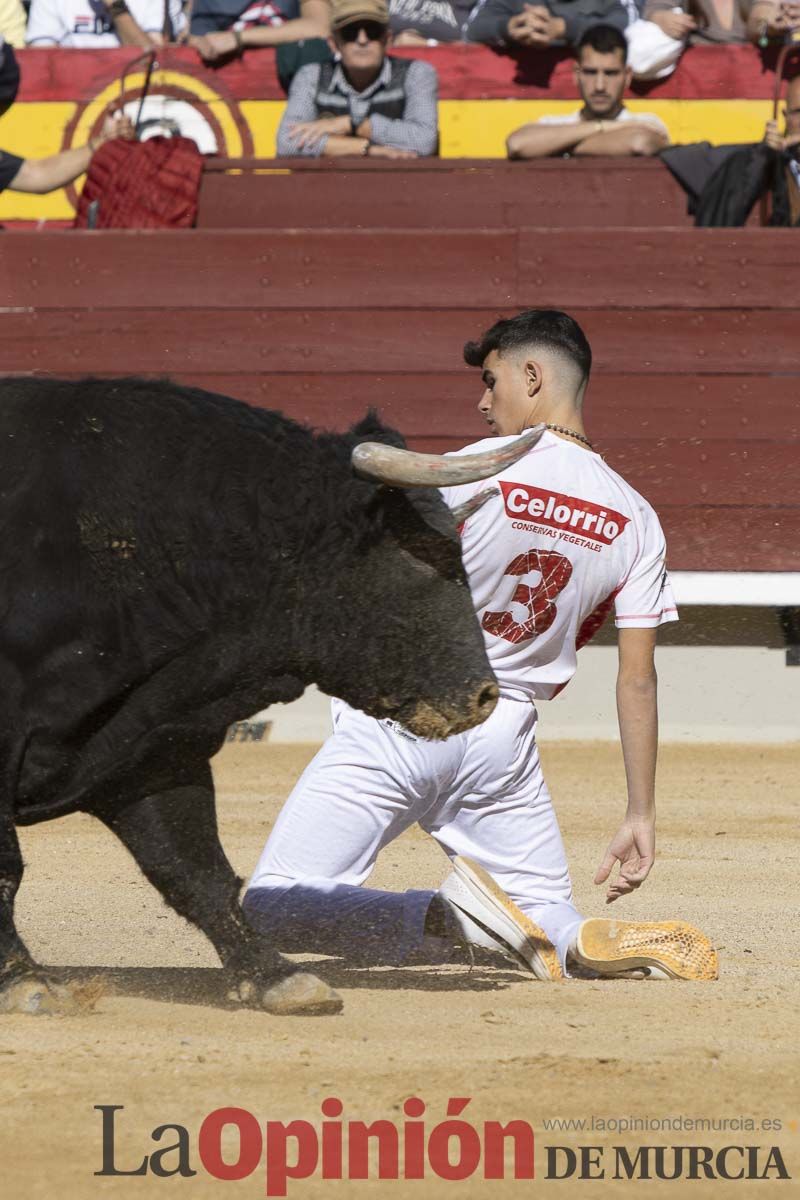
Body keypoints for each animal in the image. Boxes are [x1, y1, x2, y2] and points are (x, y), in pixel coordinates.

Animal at [0, 376, 544, 1012]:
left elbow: (196, 870)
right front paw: (24, 980)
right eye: (416, 558)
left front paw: (274, 976)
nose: (483, 696)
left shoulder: (150, 748)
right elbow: (7, 866)